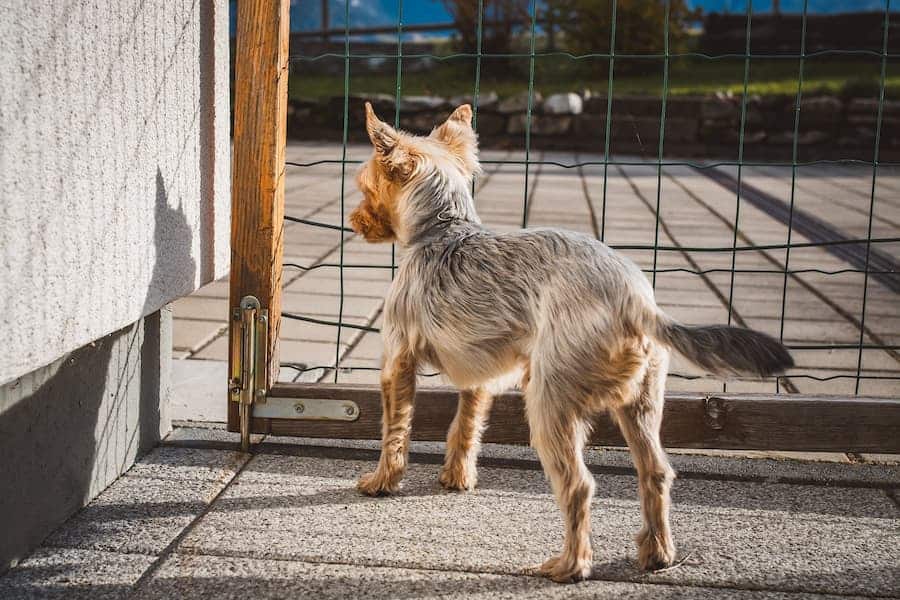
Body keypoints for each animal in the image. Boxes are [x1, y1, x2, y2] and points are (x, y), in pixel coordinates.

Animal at [348, 102, 792, 580]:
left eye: (365, 187)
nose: (353, 221)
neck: (443, 227)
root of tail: (634, 300)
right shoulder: (482, 375)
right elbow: (465, 427)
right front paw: (457, 478)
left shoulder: (397, 361)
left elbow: (394, 430)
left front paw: (381, 481)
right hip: (641, 402)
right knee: (656, 472)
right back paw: (657, 553)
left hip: (548, 403)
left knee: (578, 485)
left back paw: (571, 564)